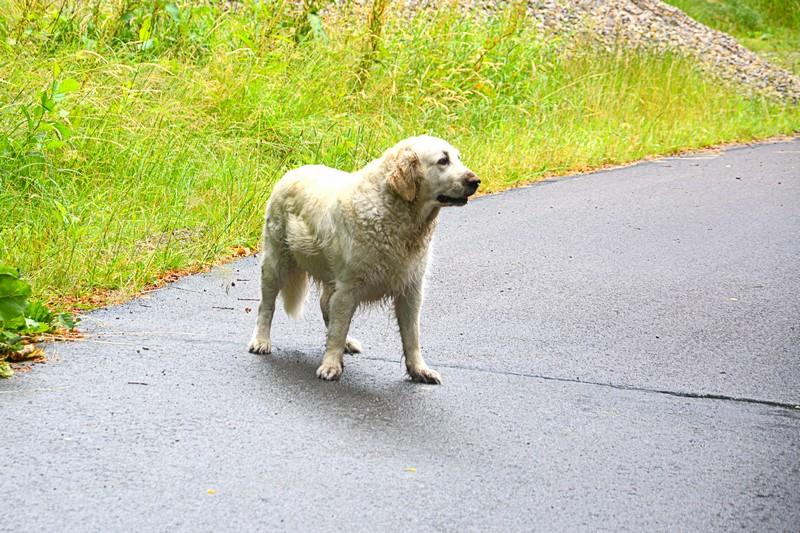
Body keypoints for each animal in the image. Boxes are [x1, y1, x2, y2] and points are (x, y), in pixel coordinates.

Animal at [247, 135, 480, 383]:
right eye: (443, 160)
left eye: (458, 158)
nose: (476, 181)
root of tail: (293, 171)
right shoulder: (349, 287)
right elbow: (338, 330)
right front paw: (331, 365)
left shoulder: (411, 289)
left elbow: (412, 336)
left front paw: (419, 369)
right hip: (276, 262)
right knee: (267, 306)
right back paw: (261, 341)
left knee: (326, 306)